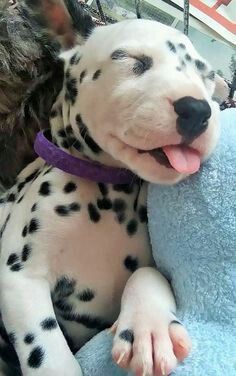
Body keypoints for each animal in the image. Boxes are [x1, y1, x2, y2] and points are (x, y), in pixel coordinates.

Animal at [0, 11, 219, 376]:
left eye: (207, 77)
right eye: (131, 60)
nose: (199, 110)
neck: (109, 189)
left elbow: (148, 273)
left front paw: (150, 328)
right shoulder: (19, 277)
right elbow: (48, 352)